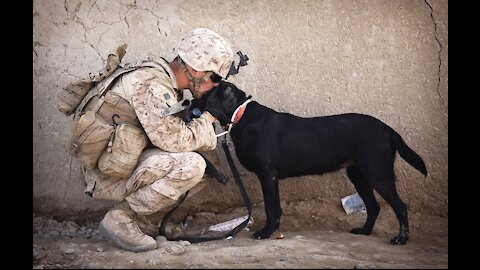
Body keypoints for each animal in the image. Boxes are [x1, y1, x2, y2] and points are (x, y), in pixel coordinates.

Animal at [195, 81, 428, 246]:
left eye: (207, 91)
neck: (241, 115)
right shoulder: (271, 177)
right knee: (373, 206)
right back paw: (364, 231)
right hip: (358, 175)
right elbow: (275, 207)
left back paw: (401, 239)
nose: (190, 101)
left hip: (377, 173)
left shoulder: (267, 175)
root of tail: (386, 128)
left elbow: (271, 207)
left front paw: (266, 232)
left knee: (400, 206)